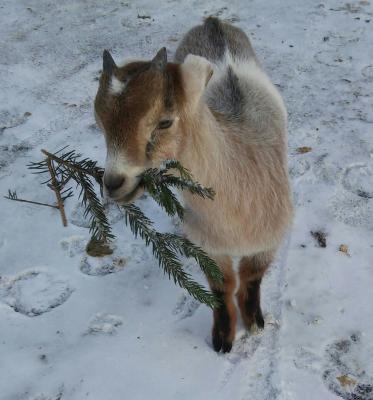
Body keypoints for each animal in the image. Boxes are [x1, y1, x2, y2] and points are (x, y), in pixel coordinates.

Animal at [94, 16, 292, 354]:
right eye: (101, 124)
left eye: (164, 122)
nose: (114, 183)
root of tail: (213, 21)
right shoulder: (207, 243)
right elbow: (221, 286)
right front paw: (223, 338)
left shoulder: (270, 237)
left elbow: (251, 277)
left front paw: (254, 322)